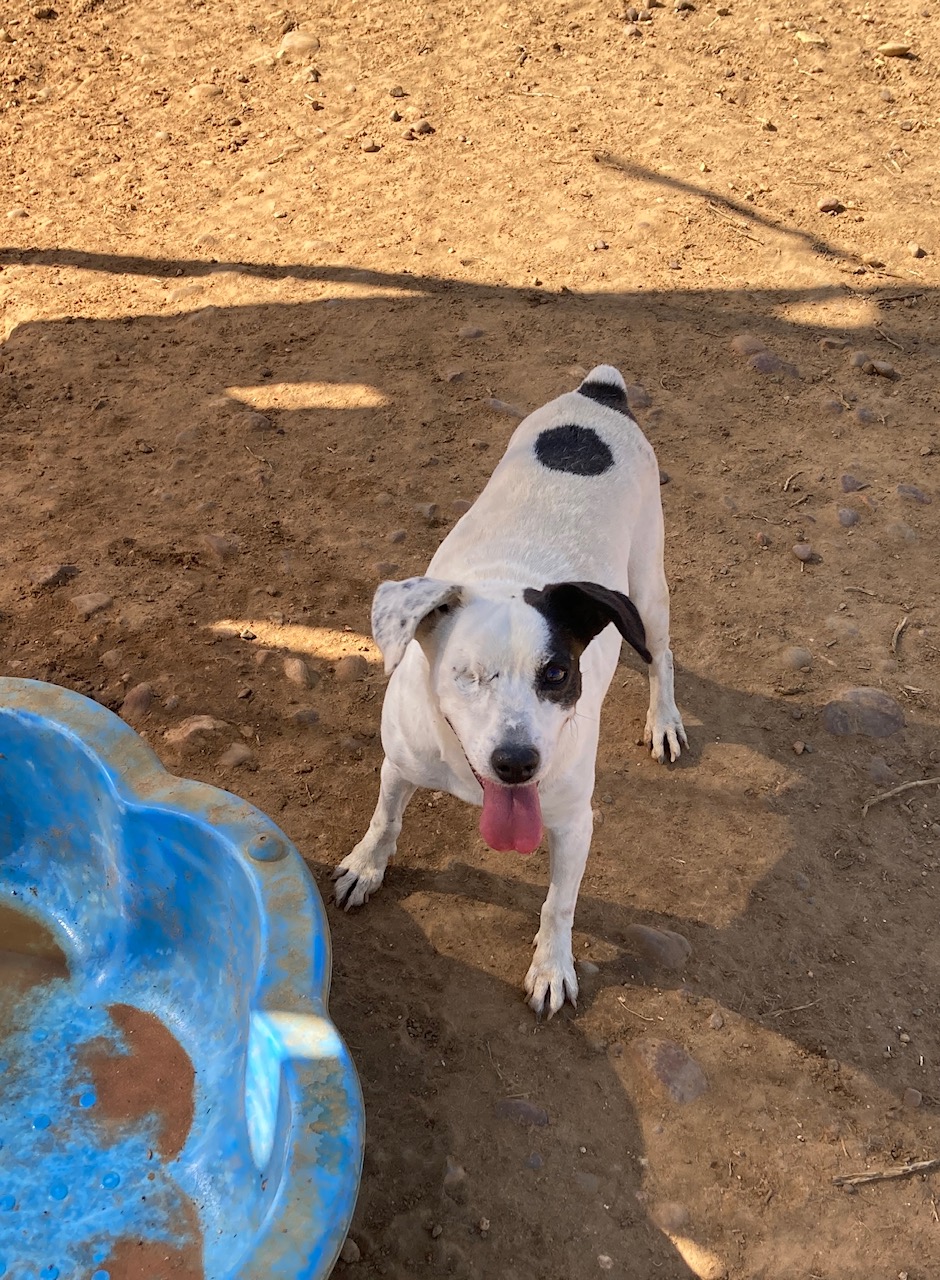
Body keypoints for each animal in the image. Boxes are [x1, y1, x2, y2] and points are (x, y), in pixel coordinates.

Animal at [333, 365, 687, 1016]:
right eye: (466, 675)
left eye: (557, 674)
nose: (517, 763)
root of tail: (598, 392)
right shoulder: (399, 762)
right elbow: (385, 820)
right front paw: (365, 867)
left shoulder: (574, 823)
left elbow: (559, 905)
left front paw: (551, 967)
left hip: (649, 591)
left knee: (662, 658)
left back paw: (665, 719)